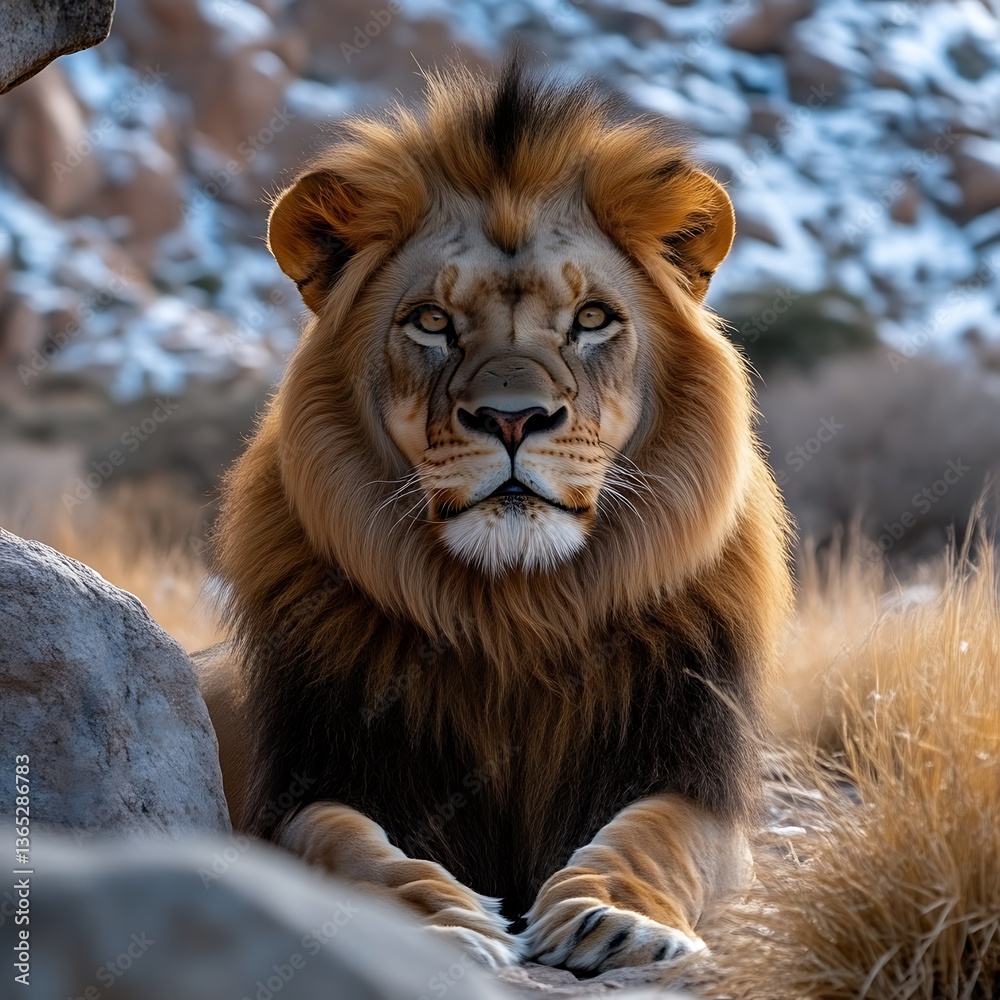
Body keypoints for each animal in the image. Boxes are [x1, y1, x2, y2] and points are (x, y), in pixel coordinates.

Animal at [197, 59, 793, 974]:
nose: (514, 419)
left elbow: (657, 837)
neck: (515, 610)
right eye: (432, 323)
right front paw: (433, 915)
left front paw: (616, 915)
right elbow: (341, 843)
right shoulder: (306, 779)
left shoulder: (691, 776)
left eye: (592, 320)